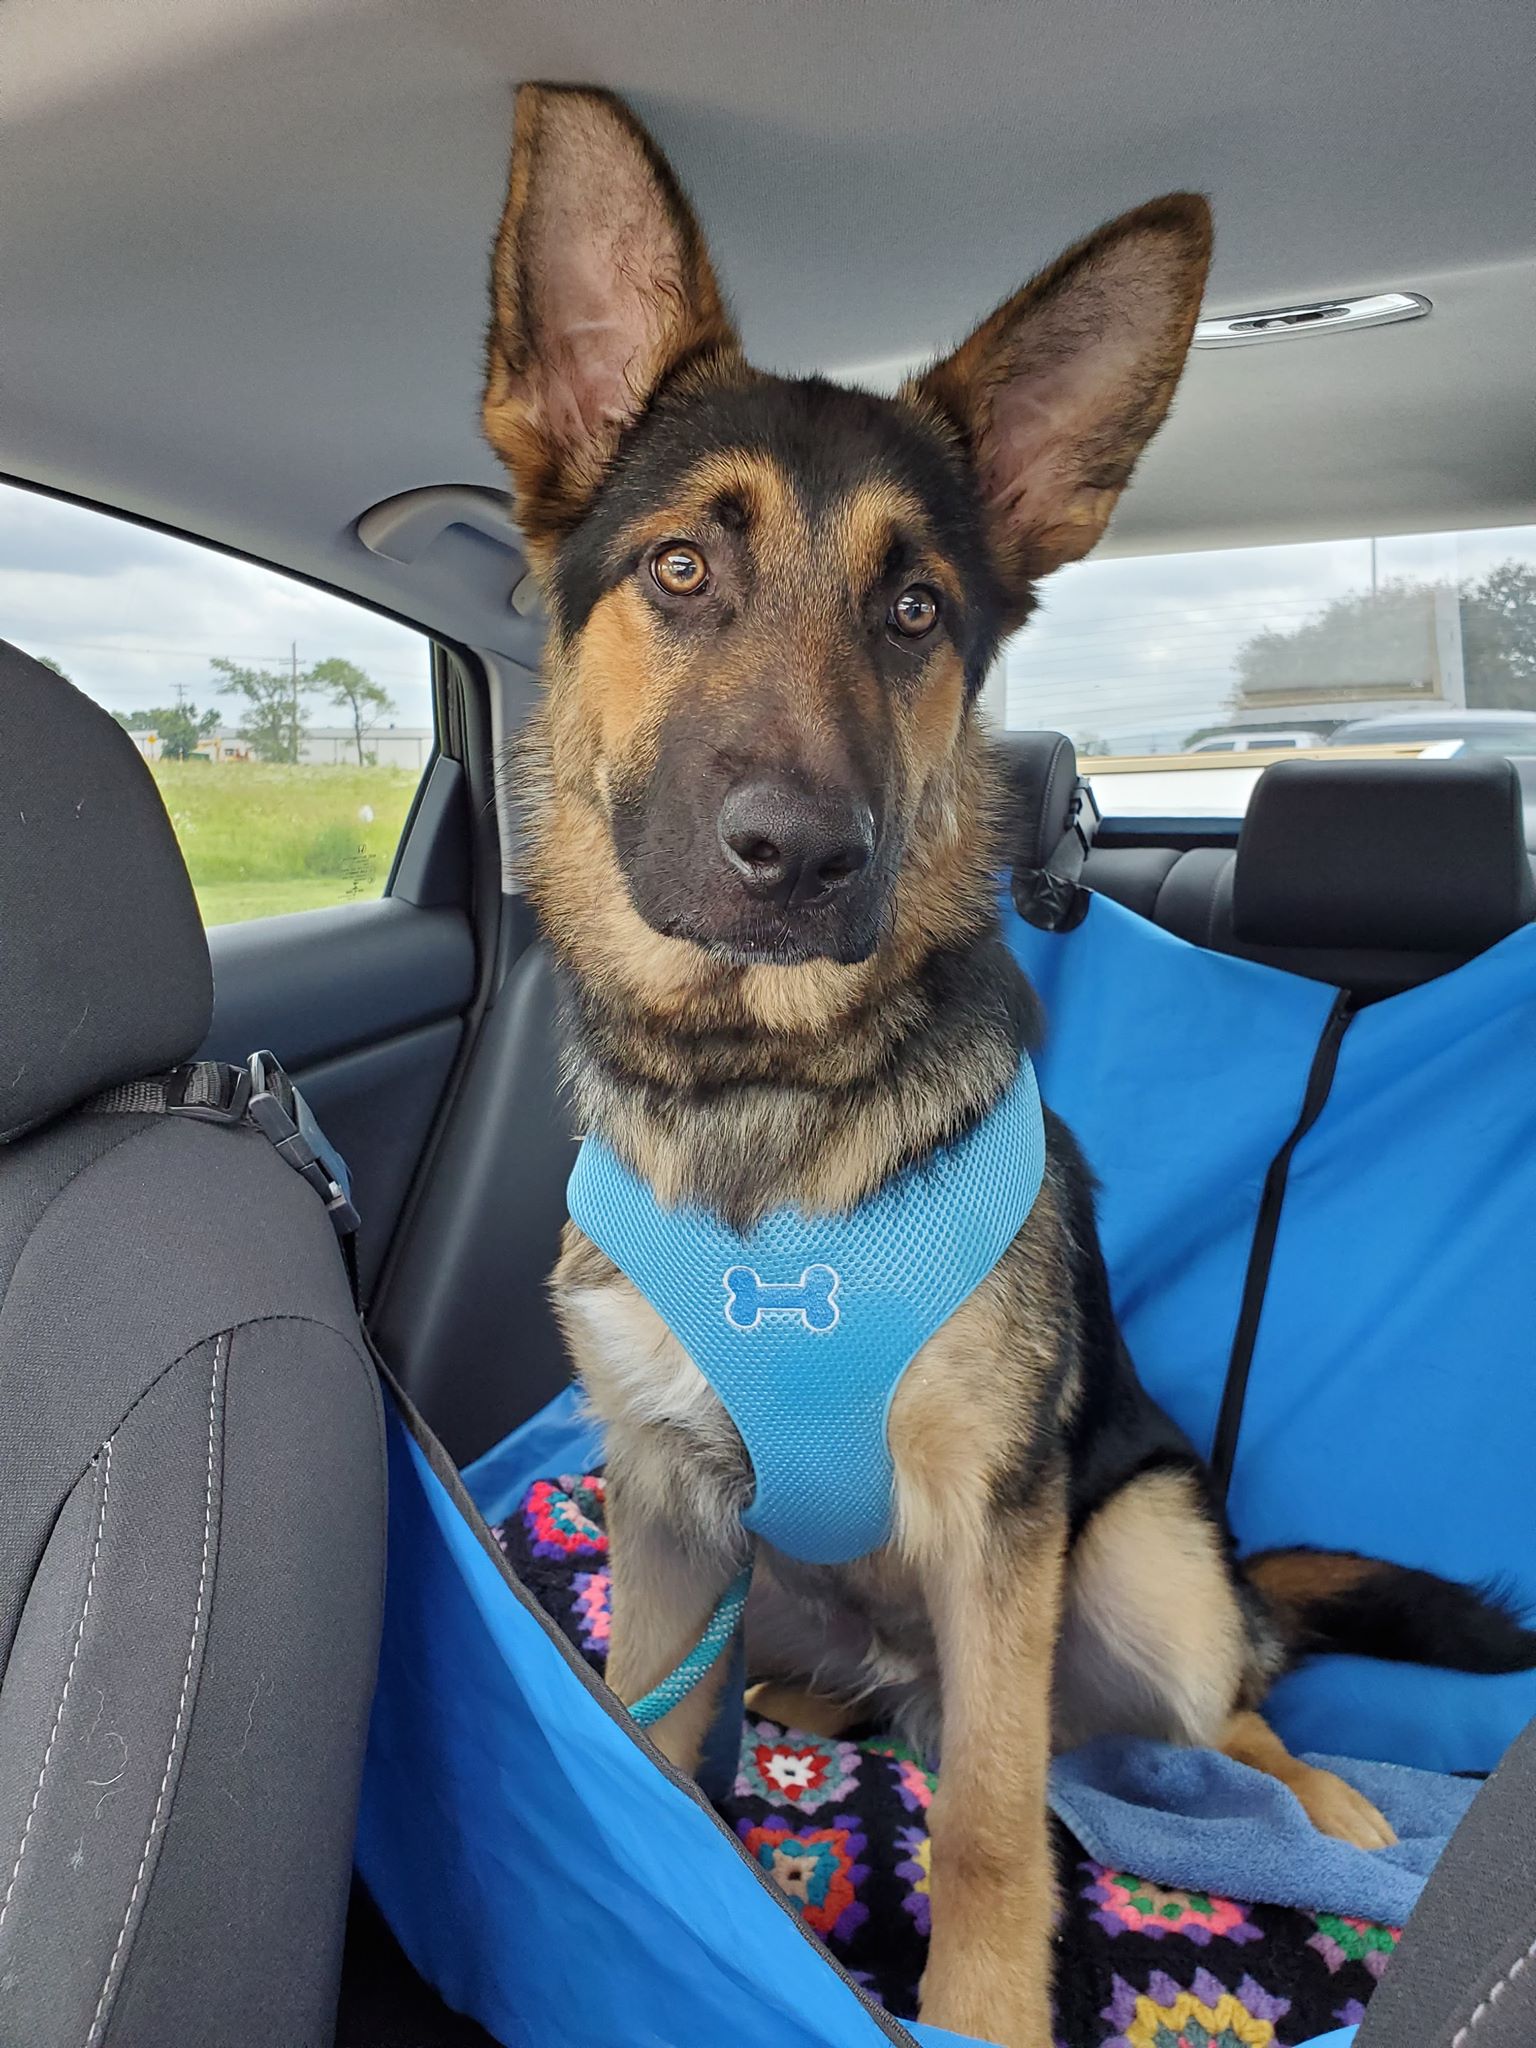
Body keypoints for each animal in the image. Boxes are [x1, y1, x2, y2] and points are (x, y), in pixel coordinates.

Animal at [483, 83, 1536, 2048]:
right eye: (681, 567)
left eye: (915, 614)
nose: (801, 859)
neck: (766, 1100)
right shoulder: (666, 1506)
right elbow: (652, 1750)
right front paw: (658, 1867)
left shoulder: (996, 1525)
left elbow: (982, 1828)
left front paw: (981, 2004)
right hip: (800, 1590)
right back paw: (815, 1712)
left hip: (1135, 1560)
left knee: (1223, 1714)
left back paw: (1332, 1808)